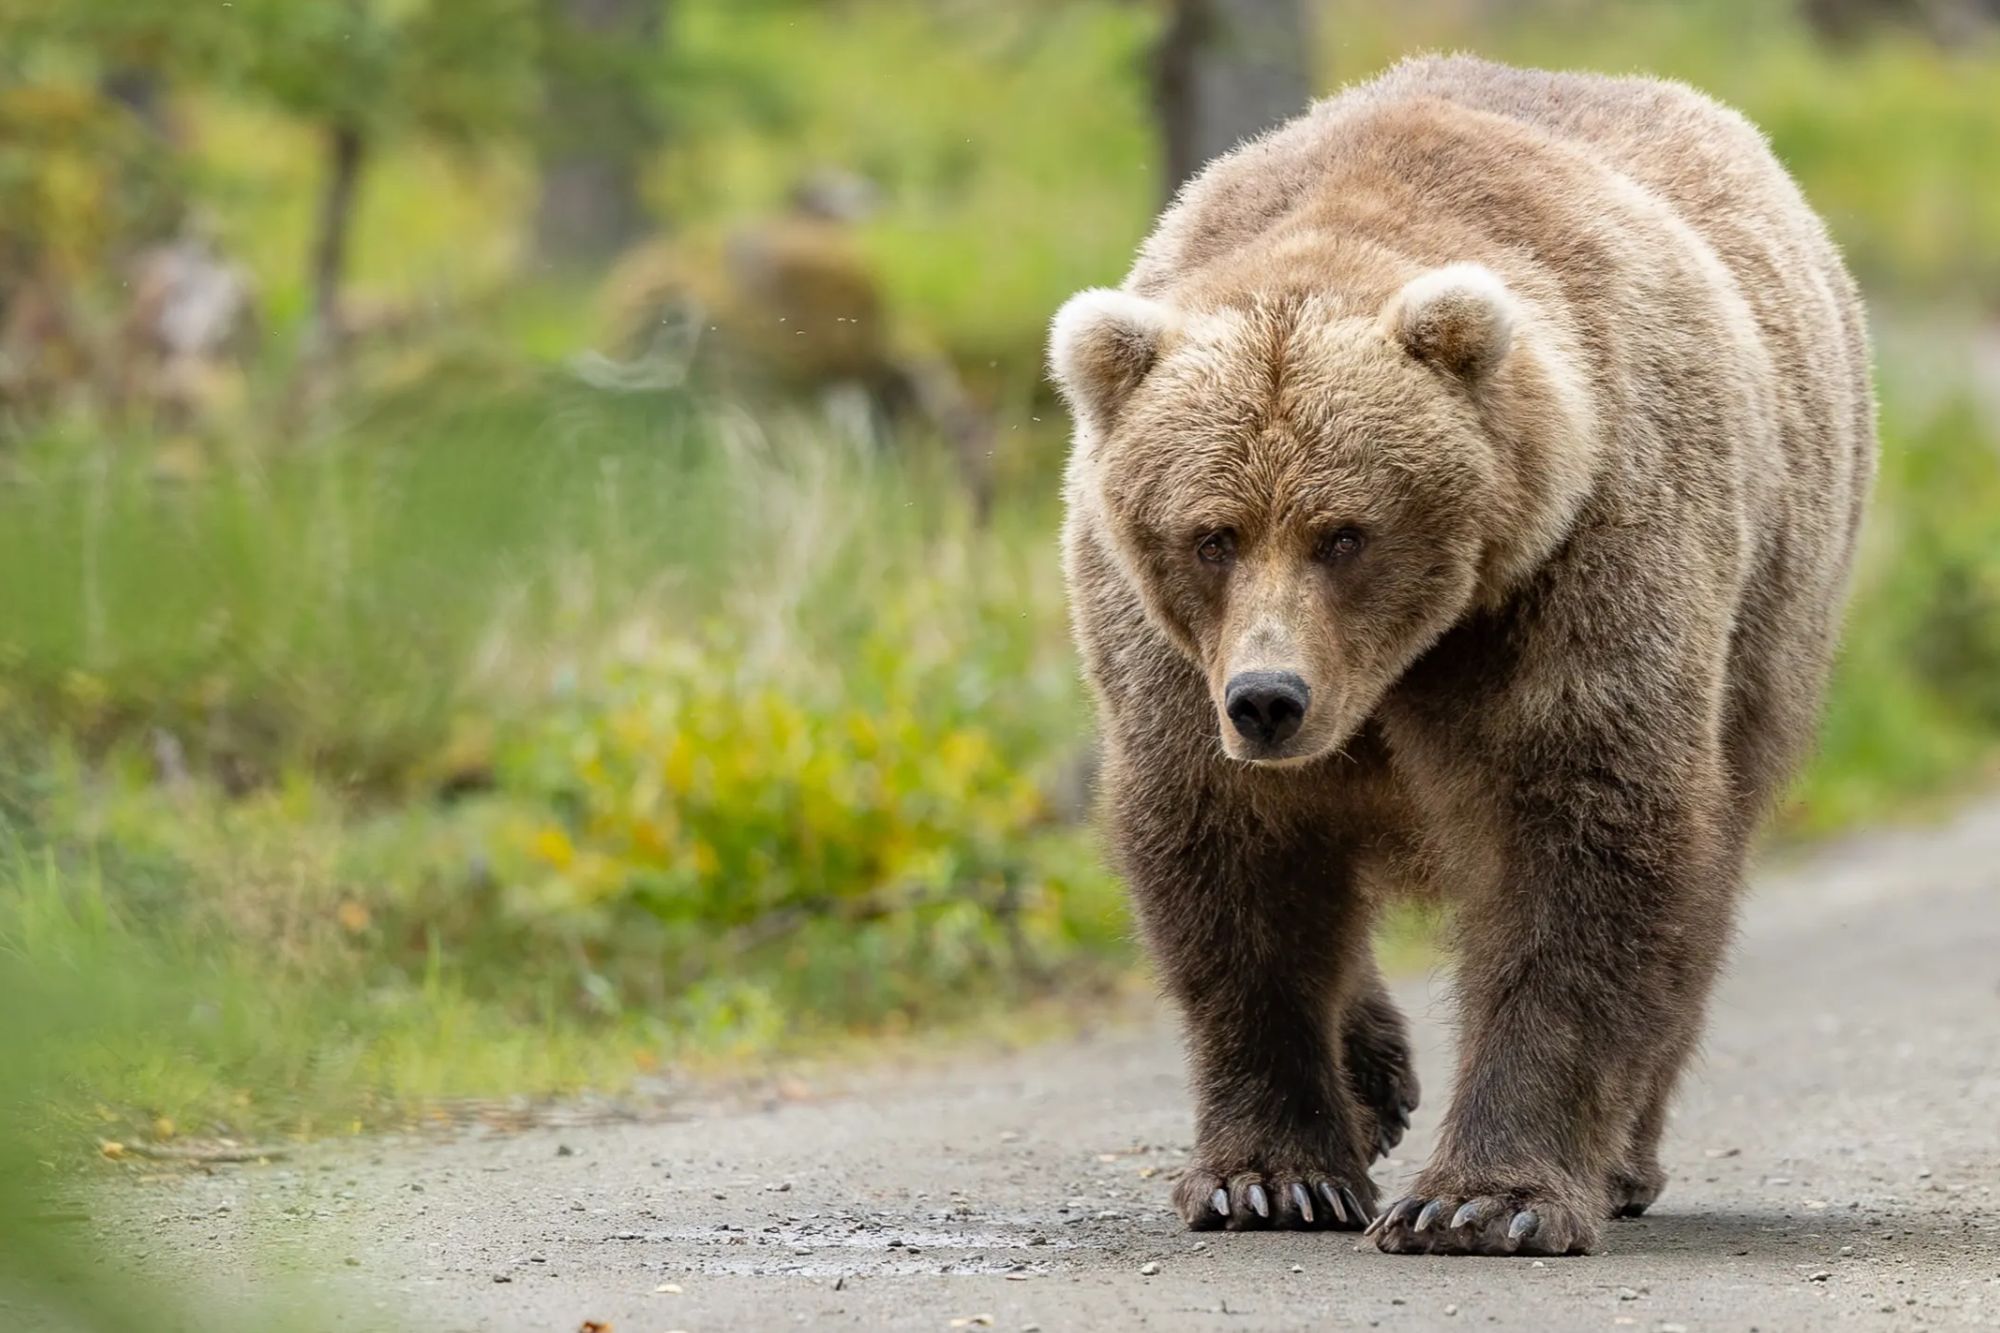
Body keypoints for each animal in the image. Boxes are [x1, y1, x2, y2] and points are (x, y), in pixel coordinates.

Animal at [1048, 55, 1874, 1257]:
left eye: (1345, 531)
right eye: (1212, 533)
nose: (1268, 699)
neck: (1402, 662)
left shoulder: (1576, 568)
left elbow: (1574, 842)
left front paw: (1485, 1198)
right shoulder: (1165, 657)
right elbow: (1230, 865)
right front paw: (1274, 1175)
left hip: (1770, 608)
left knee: (1706, 861)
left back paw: (1619, 1154)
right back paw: (1378, 1075)